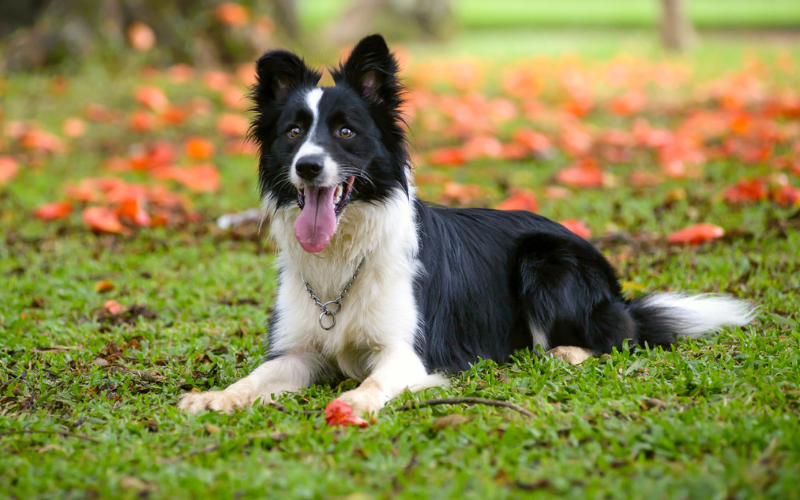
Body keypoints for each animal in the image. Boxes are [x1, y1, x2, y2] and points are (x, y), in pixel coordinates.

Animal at [178, 35, 752, 416]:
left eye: (345, 131)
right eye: (294, 132)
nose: (309, 167)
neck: (345, 254)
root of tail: (616, 288)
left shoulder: (408, 353)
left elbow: (372, 384)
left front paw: (353, 404)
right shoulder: (298, 351)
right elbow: (255, 377)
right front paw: (214, 397)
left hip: (545, 260)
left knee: (614, 337)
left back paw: (564, 352)